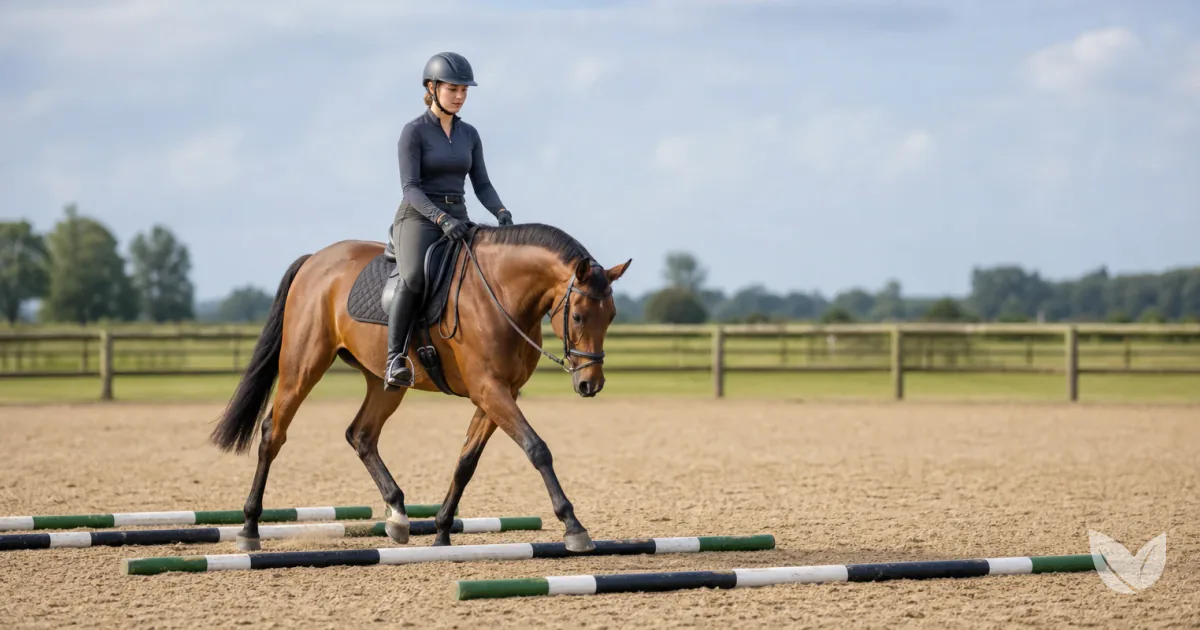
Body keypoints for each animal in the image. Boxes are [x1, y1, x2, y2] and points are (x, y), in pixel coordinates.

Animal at [207, 222, 631, 553]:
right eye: (578, 316)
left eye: (611, 315)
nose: (590, 384)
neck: (500, 293)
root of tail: (314, 261)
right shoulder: (489, 389)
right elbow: (537, 449)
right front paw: (573, 526)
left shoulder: (499, 393)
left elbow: (467, 461)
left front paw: (442, 530)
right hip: (302, 366)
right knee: (272, 433)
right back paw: (249, 528)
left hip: (385, 383)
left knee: (361, 434)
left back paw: (397, 516)